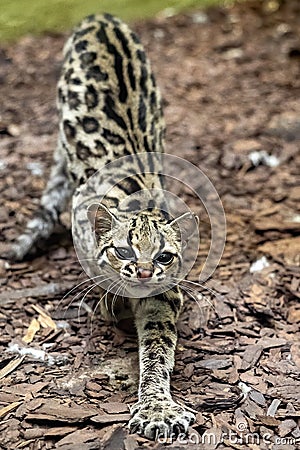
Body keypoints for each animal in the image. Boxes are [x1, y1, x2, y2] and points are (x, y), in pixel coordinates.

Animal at [9, 13, 197, 440]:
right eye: (124, 249)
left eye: (164, 256)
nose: (142, 272)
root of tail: (102, 16)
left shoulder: (165, 292)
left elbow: (158, 346)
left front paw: (157, 406)